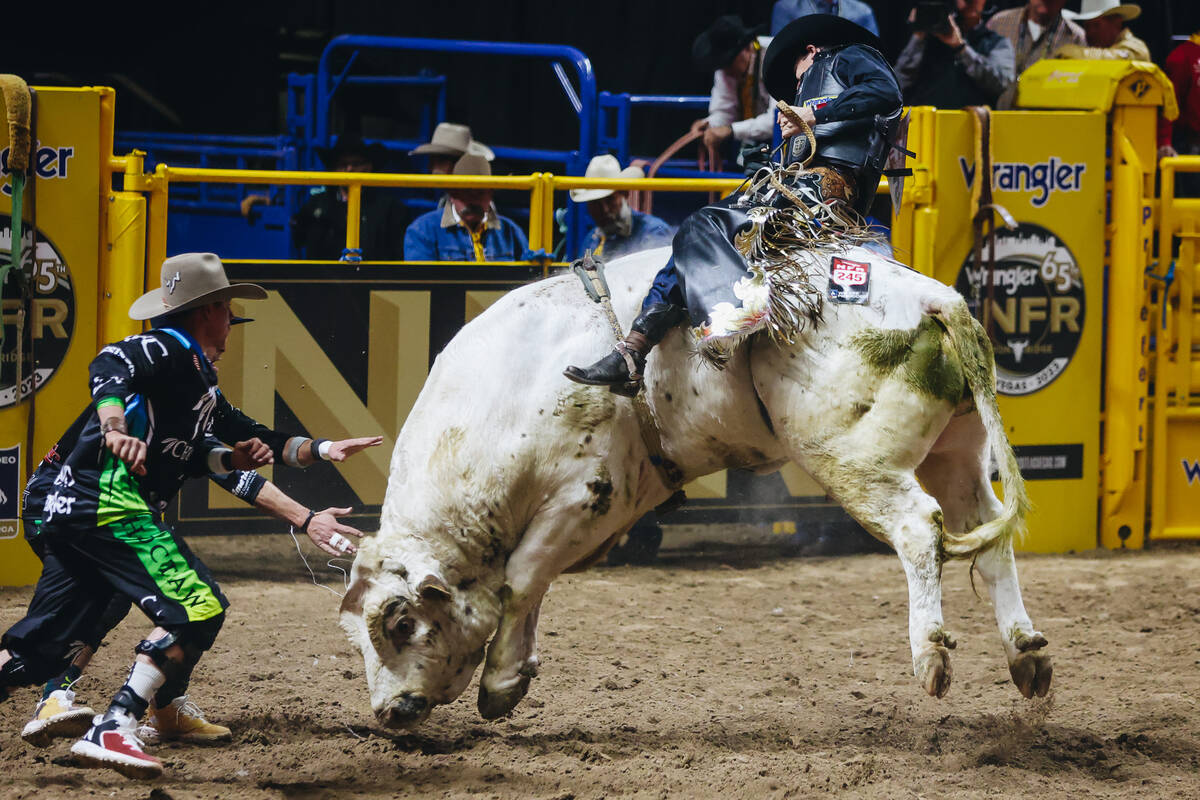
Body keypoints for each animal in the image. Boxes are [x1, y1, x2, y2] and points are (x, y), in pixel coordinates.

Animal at [338, 245, 1051, 734]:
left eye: (399, 622)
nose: (389, 713)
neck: (506, 395)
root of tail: (933, 300)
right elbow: (530, 588)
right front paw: (514, 672)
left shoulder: (590, 494)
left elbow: (521, 579)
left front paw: (502, 682)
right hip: (955, 454)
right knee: (988, 535)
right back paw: (1025, 655)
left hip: (855, 457)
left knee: (918, 526)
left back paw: (931, 657)